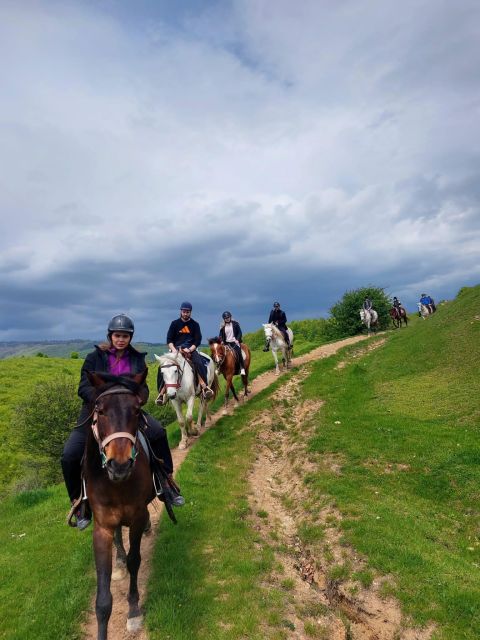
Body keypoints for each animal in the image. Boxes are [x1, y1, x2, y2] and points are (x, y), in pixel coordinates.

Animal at [83, 370, 156, 640]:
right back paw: (119, 562)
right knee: (117, 536)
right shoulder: (101, 527)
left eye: (136, 410)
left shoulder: (136, 516)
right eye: (100, 410)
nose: (120, 464)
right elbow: (102, 599)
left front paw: (133, 611)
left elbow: (136, 560)